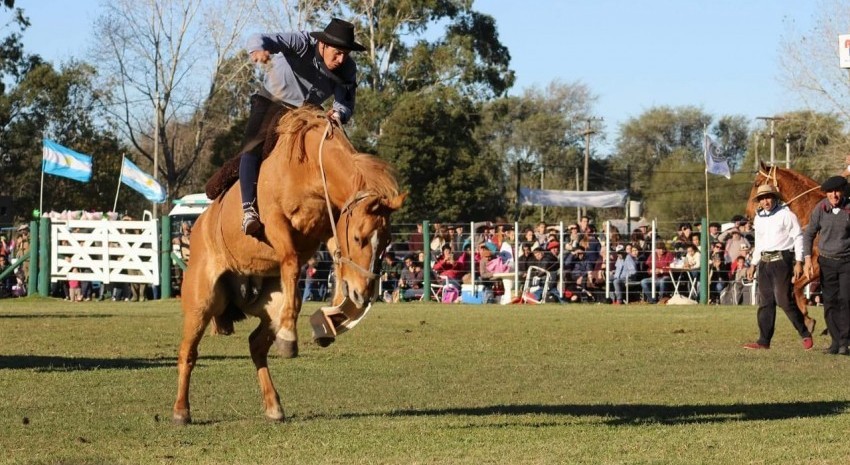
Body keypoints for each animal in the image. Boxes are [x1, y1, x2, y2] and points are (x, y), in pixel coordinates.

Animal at [172, 106, 404, 424]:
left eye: (387, 241)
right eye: (358, 237)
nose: (364, 293)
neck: (308, 170)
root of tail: (198, 228)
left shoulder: (327, 230)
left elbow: (336, 261)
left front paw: (333, 317)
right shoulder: (276, 225)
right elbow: (292, 262)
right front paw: (299, 330)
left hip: (269, 305)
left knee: (256, 346)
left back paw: (274, 404)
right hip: (201, 302)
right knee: (188, 352)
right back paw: (181, 411)